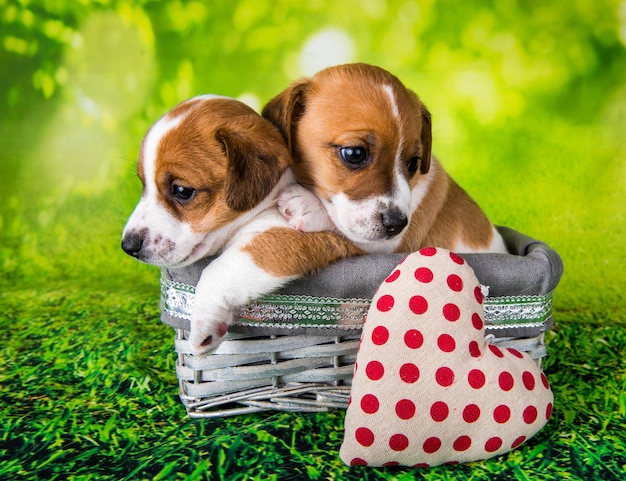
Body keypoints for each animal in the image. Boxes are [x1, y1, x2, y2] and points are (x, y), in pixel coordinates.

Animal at [120, 96, 360, 352]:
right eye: (143, 184)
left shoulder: (282, 239)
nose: (128, 246)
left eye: (182, 190)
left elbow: (216, 270)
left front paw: (203, 323)